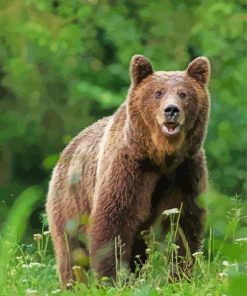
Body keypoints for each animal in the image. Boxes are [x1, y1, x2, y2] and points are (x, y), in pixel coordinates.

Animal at [46, 54, 210, 286]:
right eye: (158, 93)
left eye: (183, 94)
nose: (171, 110)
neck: (160, 158)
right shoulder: (128, 170)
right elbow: (113, 222)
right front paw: (113, 279)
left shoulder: (185, 172)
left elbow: (185, 226)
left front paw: (179, 276)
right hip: (70, 202)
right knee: (71, 251)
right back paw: (73, 284)